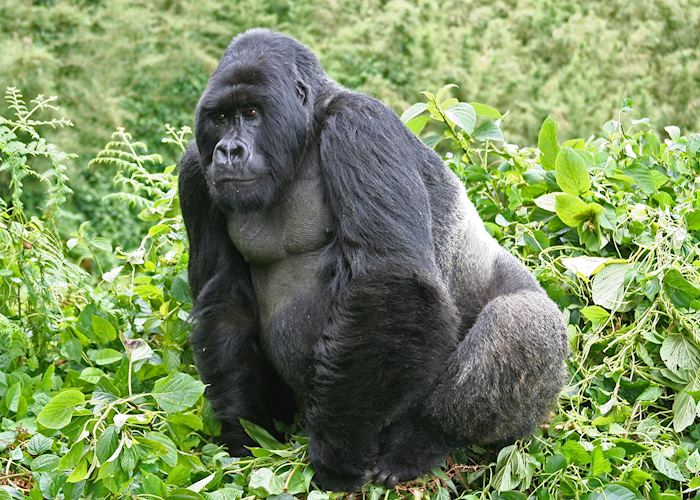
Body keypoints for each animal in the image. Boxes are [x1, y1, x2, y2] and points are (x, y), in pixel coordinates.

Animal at [180, 28, 568, 492]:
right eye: (220, 118)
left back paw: (423, 439)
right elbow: (224, 300)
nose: (228, 151)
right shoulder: (194, 170)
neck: (306, 132)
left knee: (517, 320)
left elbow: (392, 279)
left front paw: (338, 451)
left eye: (251, 113)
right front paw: (244, 431)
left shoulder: (361, 126)